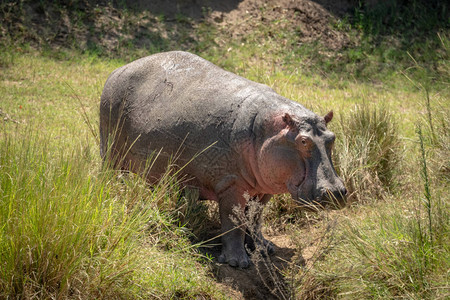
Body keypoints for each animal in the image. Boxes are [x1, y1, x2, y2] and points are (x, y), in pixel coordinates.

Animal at [100, 50, 346, 268]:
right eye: (303, 141)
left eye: (332, 137)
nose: (336, 192)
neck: (266, 130)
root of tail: (118, 69)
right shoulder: (231, 184)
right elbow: (233, 222)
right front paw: (237, 263)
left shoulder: (264, 188)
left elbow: (255, 219)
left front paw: (265, 248)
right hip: (110, 151)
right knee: (111, 174)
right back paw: (114, 196)